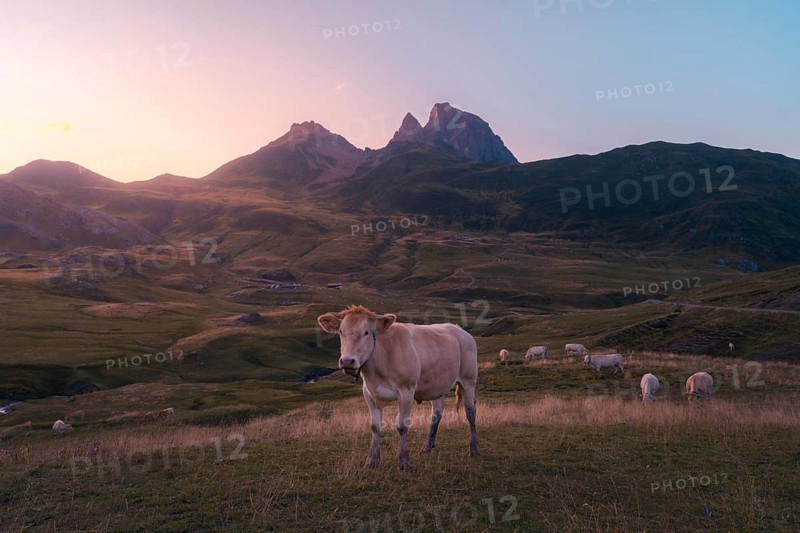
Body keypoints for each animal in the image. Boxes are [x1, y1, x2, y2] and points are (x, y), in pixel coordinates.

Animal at [318, 305, 480, 470]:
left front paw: (403, 460)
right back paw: (427, 446)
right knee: (437, 412)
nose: (347, 361)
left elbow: (402, 425)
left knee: (470, 410)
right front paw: (372, 460)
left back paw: (474, 448)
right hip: (436, 385)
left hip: (469, 380)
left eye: (366, 332)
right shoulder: (368, 393)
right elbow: (375, 426)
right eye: (341, 332)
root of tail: (459, 329)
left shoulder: (406, 391)